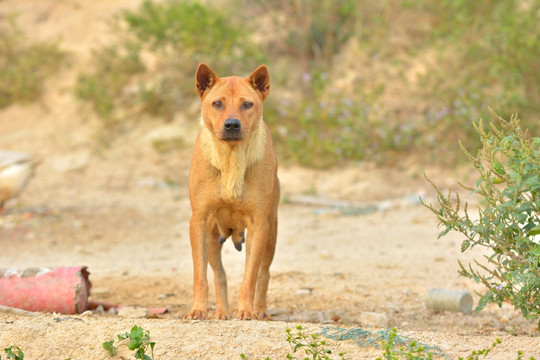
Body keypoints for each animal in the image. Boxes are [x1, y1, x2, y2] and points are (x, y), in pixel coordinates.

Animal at [185, 63, 278, 320]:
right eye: (217, 104)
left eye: (247, 104)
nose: (232, 125)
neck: (231, 159)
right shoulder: (199, 221)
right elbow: (200, 276)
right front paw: (197, 309)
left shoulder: (259, 224)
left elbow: (250, 276)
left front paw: (246, 310)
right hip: (212, 238)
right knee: (219, 275)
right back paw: (221, 312)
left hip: (271, 234)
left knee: (264, 273)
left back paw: (260, 310)